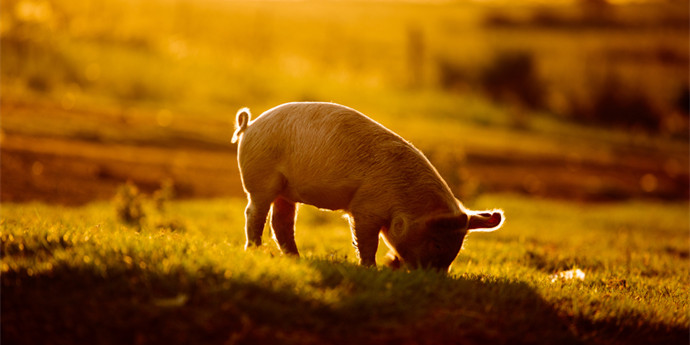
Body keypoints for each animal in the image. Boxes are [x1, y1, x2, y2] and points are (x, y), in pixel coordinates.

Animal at [230, 102, 500, 272]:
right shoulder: (366, 207)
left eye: (457, 249)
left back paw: (296, 257)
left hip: (286, 192)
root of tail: (249, 126)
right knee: (254, 213)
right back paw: (255, 251)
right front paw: (371, 268)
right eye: (436, 244)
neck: (404, 198)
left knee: (281, 222)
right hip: (261, 179)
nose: (436, 278)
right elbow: (368, 240)